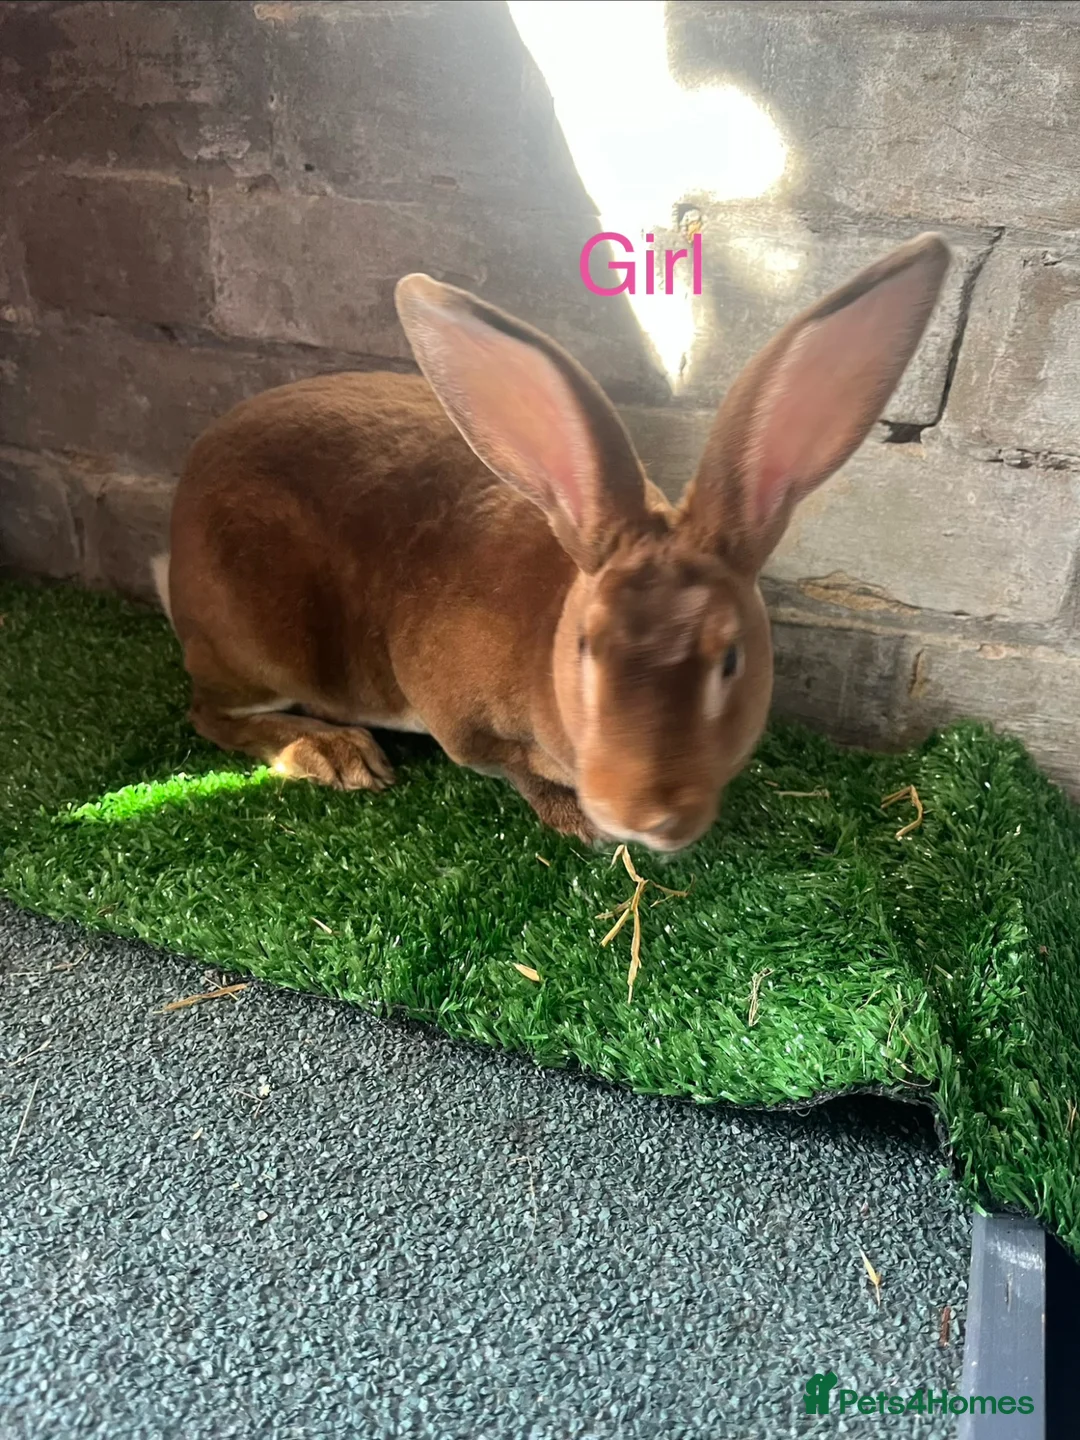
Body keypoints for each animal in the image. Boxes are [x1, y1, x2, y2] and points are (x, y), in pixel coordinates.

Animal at [155, 233, 949, 853]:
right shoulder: (457, 717)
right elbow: (504, 764)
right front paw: (577, 821)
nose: (644, 815)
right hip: (259, 642)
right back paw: (333, 753)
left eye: (732, 660)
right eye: (587, 649)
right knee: (209, 713)